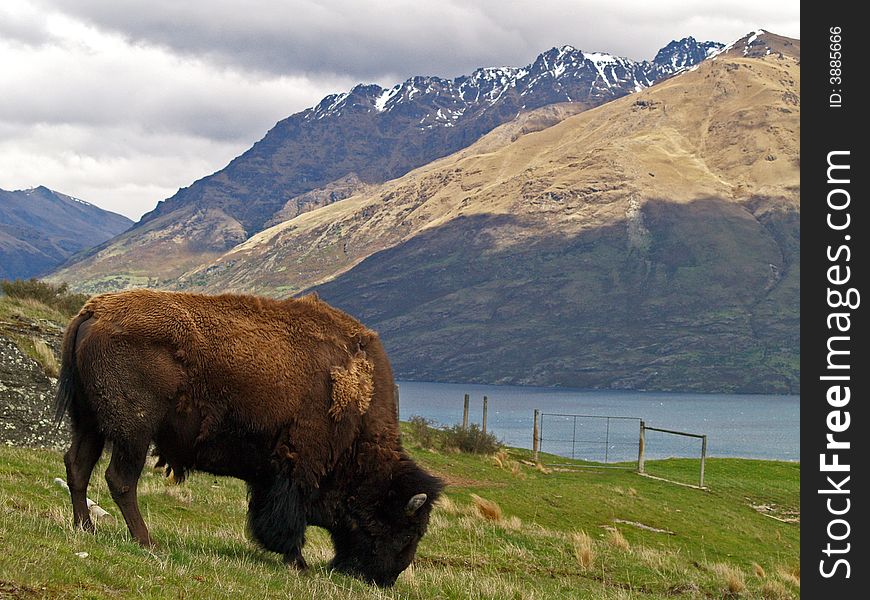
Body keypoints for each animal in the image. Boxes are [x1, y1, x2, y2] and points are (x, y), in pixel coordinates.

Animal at [56, 290, 442, 584]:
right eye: (406, 529)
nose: (385, 578)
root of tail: (93, 312)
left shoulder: (270, 476)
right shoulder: (298, 468)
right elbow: (289, 521)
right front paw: (298, 563)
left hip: (89, 423)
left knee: (78, 467)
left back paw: (85, 528)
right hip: (133, 433)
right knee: (120, 480)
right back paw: (146, 541)